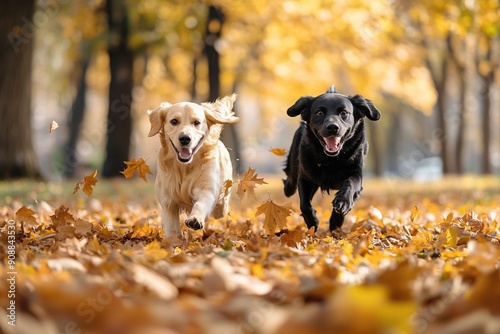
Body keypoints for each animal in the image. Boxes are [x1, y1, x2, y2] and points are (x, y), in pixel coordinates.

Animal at [284, 86, 380, 232]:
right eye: (319, 113)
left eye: (344, 113)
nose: (333, 127)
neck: (331, 159)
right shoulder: (306, 177)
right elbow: (304, 204)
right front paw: (312, 222)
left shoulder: (356, 174)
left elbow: (350, 184)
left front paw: (340, 208)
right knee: (290, 182)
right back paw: (288, 188)